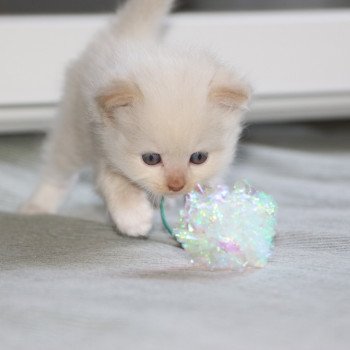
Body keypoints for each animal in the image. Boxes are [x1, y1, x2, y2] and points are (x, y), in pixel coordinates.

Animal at [20, 0, 250, 237]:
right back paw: (37, 206)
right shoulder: (103, 146)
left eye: (198, 157)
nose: (176, 185)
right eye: (151, 159)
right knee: (57, 170)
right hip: (73, 130)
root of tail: (128, 33)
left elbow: (208, 193)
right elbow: (116, 182)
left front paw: (210, 222)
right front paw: (134, 217)